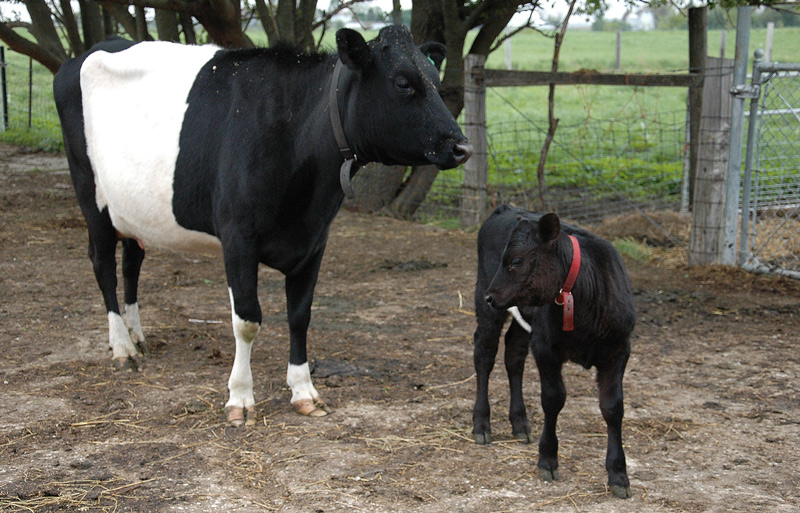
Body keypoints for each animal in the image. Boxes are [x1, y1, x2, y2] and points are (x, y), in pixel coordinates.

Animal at [53, 25, 472, 427]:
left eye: (436, 81)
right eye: (403, 82)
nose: (462, 147)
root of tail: (94, 49)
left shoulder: (314, 239)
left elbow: (300, 315)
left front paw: (304, 391)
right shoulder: (238, 237)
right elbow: (247, 320)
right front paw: (240, 398)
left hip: (131, 209)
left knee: (132, 262)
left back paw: (136, 335)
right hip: (90, 194)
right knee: (103, 265)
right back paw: (122, 348)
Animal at [472, 204, 635, 499]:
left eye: (516, 261)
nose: (492, 296)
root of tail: (506, 207)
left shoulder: (618, 350)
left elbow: (613, 407)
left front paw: (618, 475)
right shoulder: (546, 348)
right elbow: (553, 399)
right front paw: (547, 459)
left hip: (523, 318)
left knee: (514, 355)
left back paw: (520, 424)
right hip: (486, 304)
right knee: (485, 355)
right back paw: (481, 425)